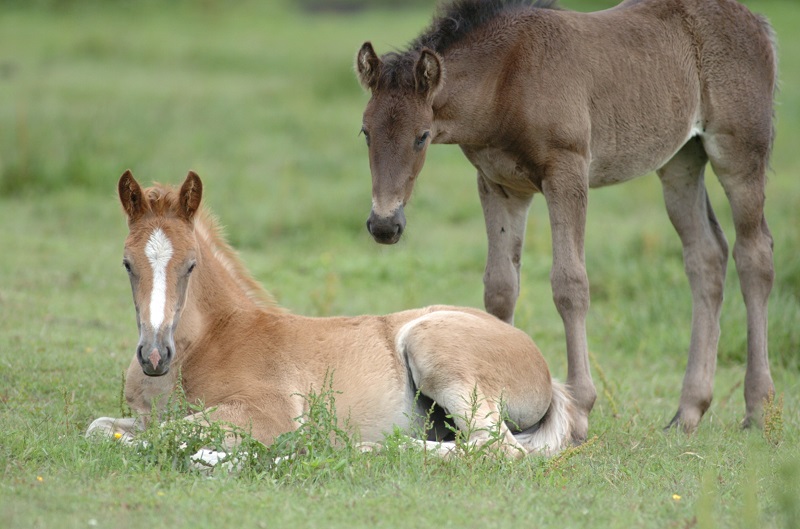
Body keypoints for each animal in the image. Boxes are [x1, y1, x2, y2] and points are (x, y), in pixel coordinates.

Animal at [86, 170, 577, 461]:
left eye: (190, 265)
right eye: (127, 264)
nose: (153, 356)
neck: (207, 342)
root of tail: (545, 369)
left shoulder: (269, 412)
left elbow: (171, 434)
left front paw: (223, 455)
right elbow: (104, 429)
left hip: (436, 351)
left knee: (498, 448)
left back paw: (355, 447)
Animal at [354, 0, 777, 441]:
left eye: (421, 136)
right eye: (365, 132)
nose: (384, 224)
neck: (507, 76)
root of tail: (755, 22)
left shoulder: (567, 171)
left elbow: (569, 285)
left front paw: (581, 409)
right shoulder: (499, 185)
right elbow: (500, 287)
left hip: (739, 152)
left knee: (754, 254)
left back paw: (758, 410)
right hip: (681, 161)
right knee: (706, 255)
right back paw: (687, 412)